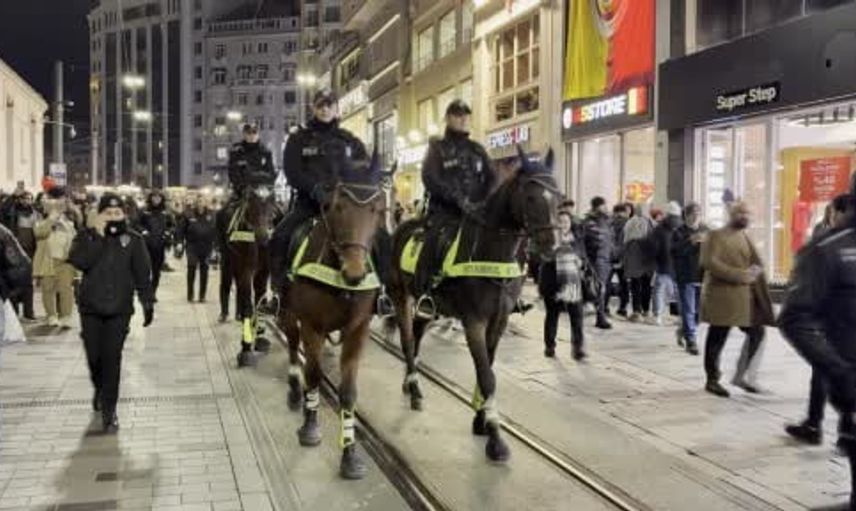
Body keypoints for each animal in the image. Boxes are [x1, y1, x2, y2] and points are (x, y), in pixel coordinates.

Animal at [222, 182, 277, 367]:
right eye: (251, 205)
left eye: (272, 206)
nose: (263, 236)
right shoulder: (245, 271)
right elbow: (247, 304)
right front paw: (245, 347)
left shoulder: (263, 272)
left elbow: (260, 299)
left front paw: (259, 336)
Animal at [276, 152, 392, 480]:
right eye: (336, 206)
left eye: (378, 210)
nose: (355, 272)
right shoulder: (311, 325)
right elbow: (313, 374)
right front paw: (310, 426)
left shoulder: (358, 329)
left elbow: (348, 393)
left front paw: (350, 453)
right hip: (288, 312)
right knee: (293, 346)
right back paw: (294, 391)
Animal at [388, 147, 561, 463]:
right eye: (530, 197)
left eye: (559, 195)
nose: (550, 246)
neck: (492, 251)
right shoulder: (474, 322)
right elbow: (488, 375)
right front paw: (495, 437)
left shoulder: (498, 322)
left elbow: (487, 368)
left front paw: (481, 420)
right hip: (399, 294)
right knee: (407, 339)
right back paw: (414, 387)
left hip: (426, 303)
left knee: (416, 334)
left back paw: (410, 383)